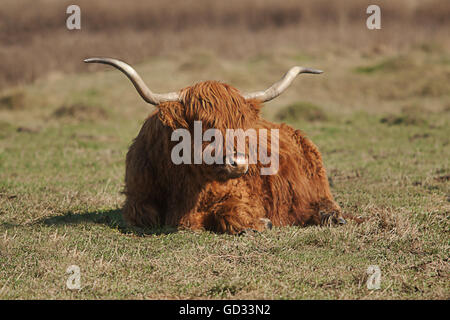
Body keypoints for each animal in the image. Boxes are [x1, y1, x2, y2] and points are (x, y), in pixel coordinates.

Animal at [85, 57, 362, 234]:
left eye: (242, 124)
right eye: (204, 125)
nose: (238, 162)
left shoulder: (242, 195)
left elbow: (229, 211)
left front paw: (259, 224)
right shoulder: (137, 200)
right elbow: (147, 216)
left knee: (325, 203)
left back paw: (331, 217)